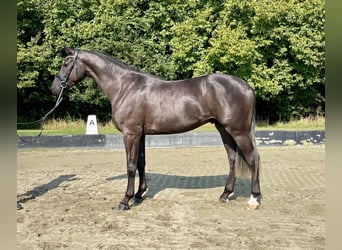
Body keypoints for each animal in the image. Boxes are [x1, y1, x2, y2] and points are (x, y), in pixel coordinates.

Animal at [50, 47, 260, 211]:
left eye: (66, 63)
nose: (54, 88)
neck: (124, 87)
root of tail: (246, 85)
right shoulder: (140, 134)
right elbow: (141, 163)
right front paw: (139, 194)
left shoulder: (130, 134)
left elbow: (130, 166)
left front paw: (125, 200)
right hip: (224, 130)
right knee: (232, 159)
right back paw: (225, 194)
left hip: (238, 131)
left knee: (252, 158)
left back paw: (254, 199)